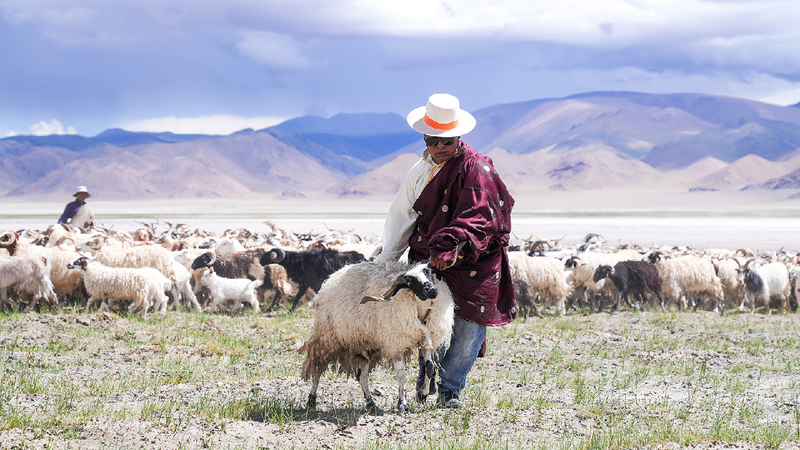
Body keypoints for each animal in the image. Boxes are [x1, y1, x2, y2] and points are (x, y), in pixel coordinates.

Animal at [299, 260, 454, 413]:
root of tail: (330, 279)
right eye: (410, 281)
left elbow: (430, 368)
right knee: (318, 368)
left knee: (362, 377)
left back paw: (371, 403)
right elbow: (401, 375)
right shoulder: (395, 344)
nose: (431, 290)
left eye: (428, 272)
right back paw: (311, 400)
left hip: (364, 347)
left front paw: (424, 393)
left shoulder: (427, 340)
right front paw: (402, 405)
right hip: (327, 339)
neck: (419, 312)